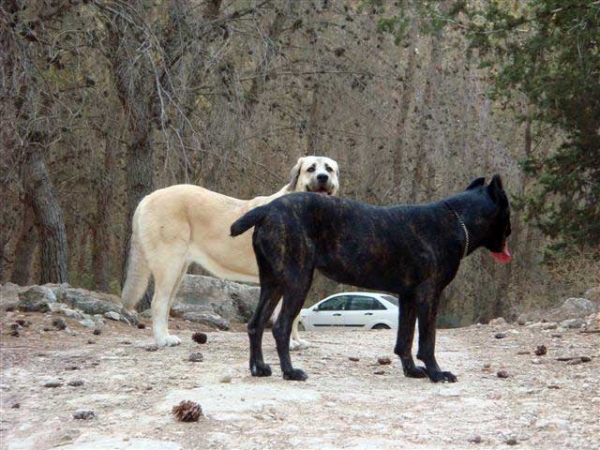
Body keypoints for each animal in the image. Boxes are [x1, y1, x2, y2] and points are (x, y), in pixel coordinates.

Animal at [122, 158, 340, 348]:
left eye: (328, 169)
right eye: (311, 169)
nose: (322, 177)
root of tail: (148, 197)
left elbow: (294, 316)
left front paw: (296, 341)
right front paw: (290, 344)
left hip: (178, 270)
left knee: (166, 304)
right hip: (169, 264)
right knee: (158, 303)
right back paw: (162, 340)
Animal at [230, 176, 510, 384]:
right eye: (508, 209)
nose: (511, 230)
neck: (455, 220)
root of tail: (267, 209)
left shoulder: (408, 297)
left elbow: (405, 339)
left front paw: (411, 370)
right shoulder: (429, 295)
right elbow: (427, 341)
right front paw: (436, 373)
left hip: (273, 283)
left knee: (256, 324)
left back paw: (259, 368)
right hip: (297, 281)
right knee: (281, 327)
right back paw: (290, 372)